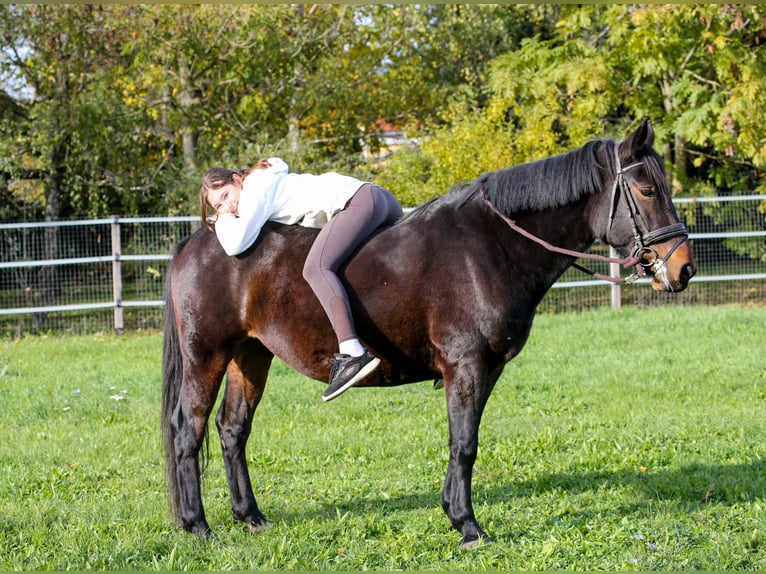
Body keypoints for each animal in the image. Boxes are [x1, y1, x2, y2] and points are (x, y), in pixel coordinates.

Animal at [164, 120, 704, 548]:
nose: (683, 268)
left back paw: (250, 517)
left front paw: (455, 514)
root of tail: (199, 240)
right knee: (188, 429)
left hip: (251, 355)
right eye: (648, 191)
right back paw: (197, 526)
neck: (491, 246)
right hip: (206, 356)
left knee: (233, 430)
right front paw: (468, 525)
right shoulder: (465, 365)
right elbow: (463, 443)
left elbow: (465, 441)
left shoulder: (487, 368)